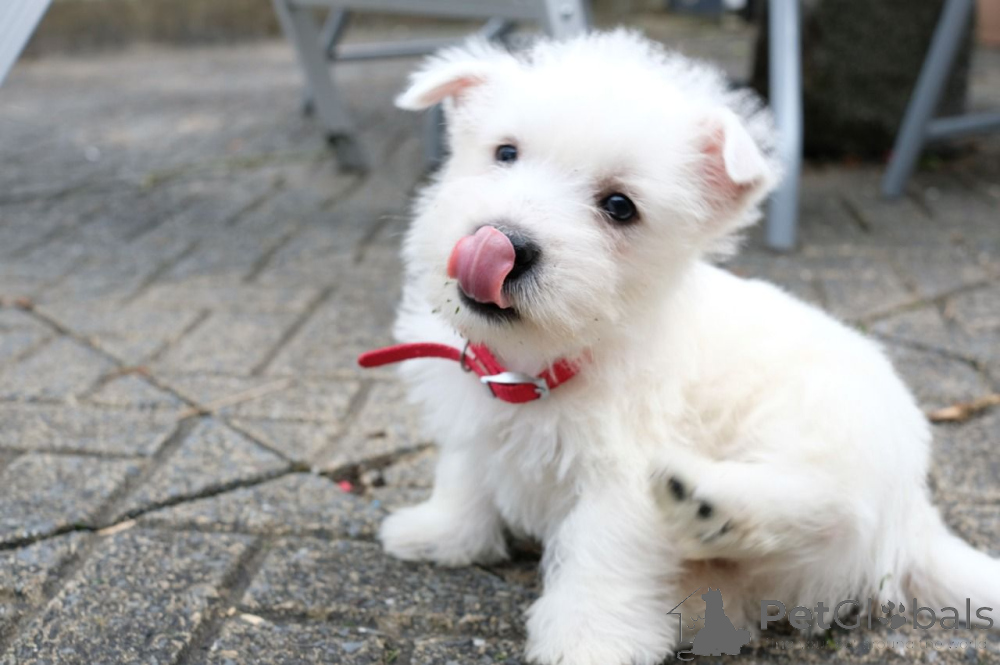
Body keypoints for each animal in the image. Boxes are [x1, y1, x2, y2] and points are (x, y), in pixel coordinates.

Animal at [363, 30, 1000, 665]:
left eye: (620, 206)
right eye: (505, 153)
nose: (503, 243)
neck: (540, 361)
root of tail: (914, 516)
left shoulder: (621, 476)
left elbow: (603, 558)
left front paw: (588, 640)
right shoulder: (473, 402)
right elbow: (465, 469)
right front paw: (444, 533)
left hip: (816, 423)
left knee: (830, 506)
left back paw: (709, 504)